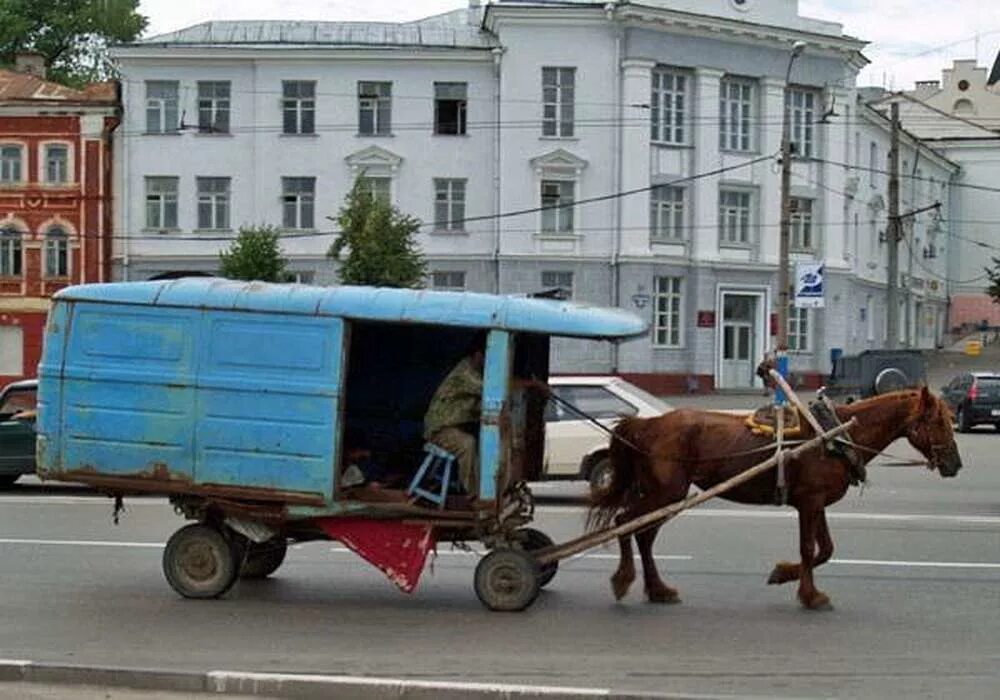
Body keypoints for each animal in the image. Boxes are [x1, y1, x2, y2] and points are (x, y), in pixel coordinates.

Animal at [588, 386, 964, 608]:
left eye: (950, 418)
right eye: (938, 421)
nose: (955, 464)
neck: (834, 435)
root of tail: (648, 424)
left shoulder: (816, 503)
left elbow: (826, 550)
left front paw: (783, 573)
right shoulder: (809, 503)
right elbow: (809, 549)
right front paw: (810, 595)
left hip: (664, 495)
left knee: (642, 533)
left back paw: (657, 589)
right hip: (666, 493)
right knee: (626, 522)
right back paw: (625, 579)